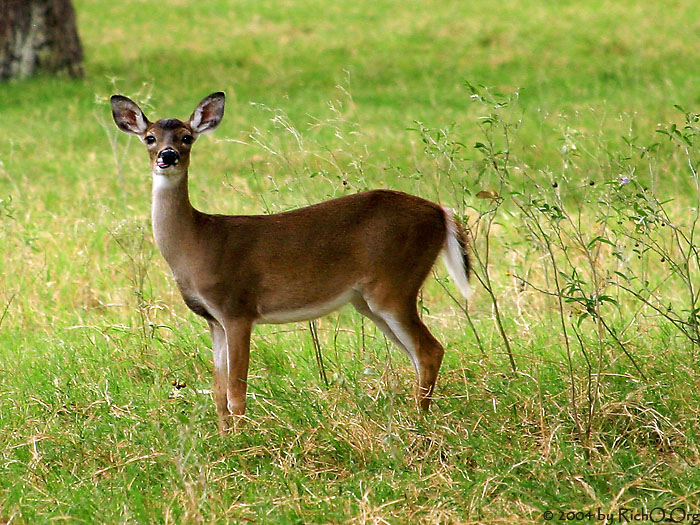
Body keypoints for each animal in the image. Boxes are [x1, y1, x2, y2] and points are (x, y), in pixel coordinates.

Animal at [110, 92, 470, 432]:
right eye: (150, 137)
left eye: (186, 137)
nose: (167, 156)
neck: (196, 243)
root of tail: (441, 213)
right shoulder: (213, 319)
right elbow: (218, 392)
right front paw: (224, 438)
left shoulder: (237, 307)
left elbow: (236, 391)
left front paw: (243, 440)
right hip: (368, 301)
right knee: (418, 353)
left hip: (394, 284)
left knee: (429, 350)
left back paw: (418, 421)